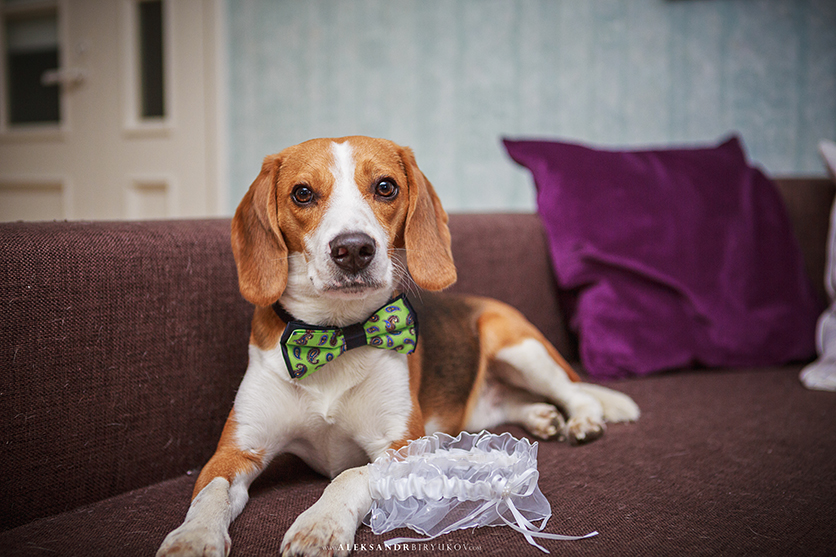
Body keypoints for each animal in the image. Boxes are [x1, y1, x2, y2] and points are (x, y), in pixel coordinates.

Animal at [157, 136, 640, 556]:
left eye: (385, 186)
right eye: (302, 194)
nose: (353, 249)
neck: (337, 335)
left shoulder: (400, 446)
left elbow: (350, 475)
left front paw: (320, 524)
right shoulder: (233, 453)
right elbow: (210, 497)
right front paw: (192, 538)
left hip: (517, 346)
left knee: (573, 392)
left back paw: (581, 421)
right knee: (512, 406)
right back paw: (541, 417)